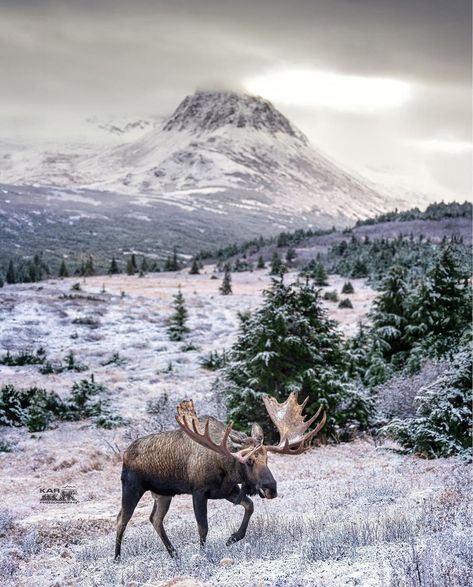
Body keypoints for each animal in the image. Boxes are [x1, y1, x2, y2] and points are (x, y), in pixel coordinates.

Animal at [116, 392, 326, 560]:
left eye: (267, 458)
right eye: (249, 460)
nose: (271, 489)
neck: (228, 469)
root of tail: (124, 454)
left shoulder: (228, 491)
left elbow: (249, 506)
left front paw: (232, 538)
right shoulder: (198, 491)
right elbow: (203, 527)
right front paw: (203, 554)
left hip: (163, 494)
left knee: (155, 519)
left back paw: (174, 554)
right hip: (132, 486)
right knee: (122, 519)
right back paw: (117, 558)